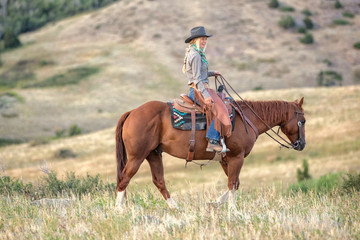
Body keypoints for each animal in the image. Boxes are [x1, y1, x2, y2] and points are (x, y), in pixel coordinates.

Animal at [115, 96, 306, 213]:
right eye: (302, 121)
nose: (302, 144)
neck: (247, 119)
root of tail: (132, 112)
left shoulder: (225, 160)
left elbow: (235, 183)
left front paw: (214, 203)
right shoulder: (236, 158)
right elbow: (233, 183)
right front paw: (234, 211)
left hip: (153, 154)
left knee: (159, 181)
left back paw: (175, 208)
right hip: (137, 157)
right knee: (124, 179)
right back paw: (119, 210)